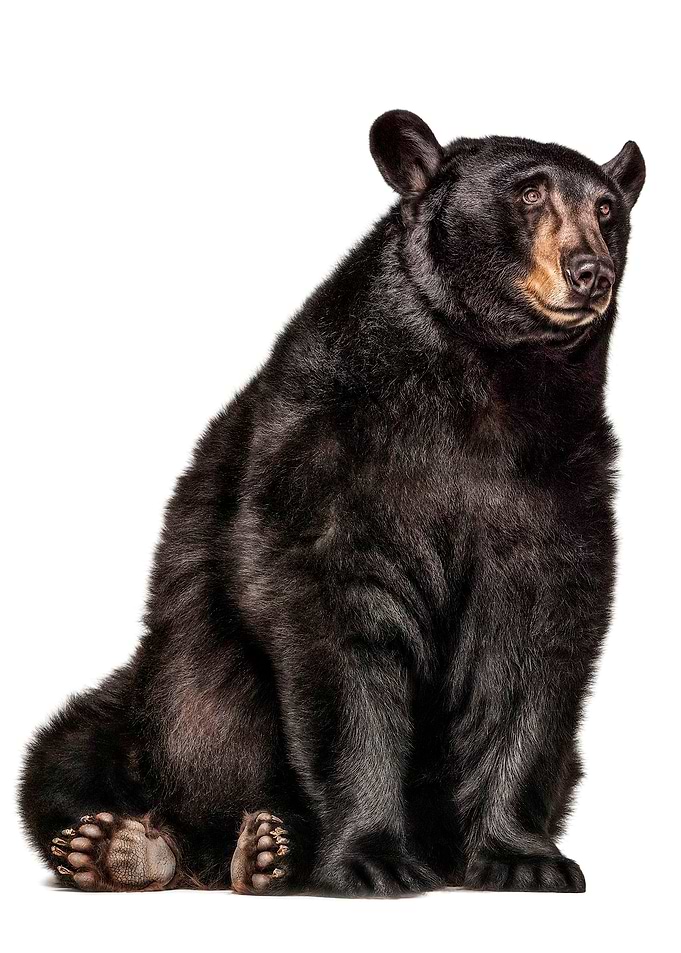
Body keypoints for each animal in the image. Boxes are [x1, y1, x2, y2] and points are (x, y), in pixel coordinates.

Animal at [19, 110, 645, 896]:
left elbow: (530, 648)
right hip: (154, 701)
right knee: (71, 756)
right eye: (528, 193)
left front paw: (522, 855)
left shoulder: (558, 483)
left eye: (607, 209)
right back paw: (133, 844)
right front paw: (371, 858)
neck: (485, 386)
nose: (590, 270)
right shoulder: (324, 457)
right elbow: (339, 631)